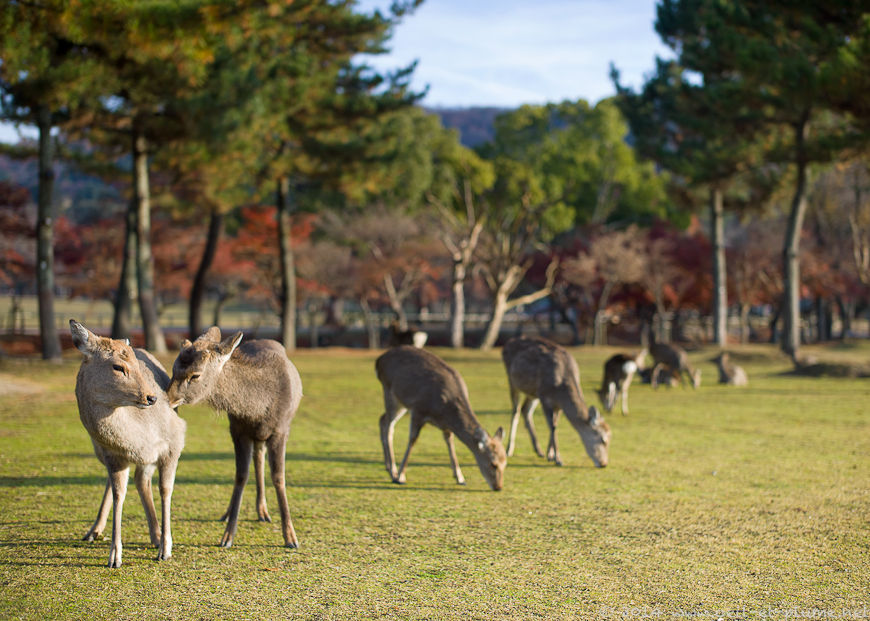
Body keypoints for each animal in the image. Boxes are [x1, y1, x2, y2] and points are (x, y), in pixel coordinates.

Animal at [70, 320, 186, 568]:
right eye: (118, 367)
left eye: (137, 366)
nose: (152, 398)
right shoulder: (112, 455)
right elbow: (118, 493)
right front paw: (114, 556)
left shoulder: (174, 443)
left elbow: (165, 489)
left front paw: (166, 548)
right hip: (99, 451)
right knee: (131, 481)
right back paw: (94, 531)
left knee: (142, 480)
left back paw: (157, 536)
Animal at [167, 324, 304, 548]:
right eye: (174, 369)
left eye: (195, 375)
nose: (166, 398)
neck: (258, 409)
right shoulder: (238, 430)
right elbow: (240, 476)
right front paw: (227, 536)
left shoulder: (281, 430)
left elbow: (279, 477)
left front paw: (291, 537)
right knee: (257, 459)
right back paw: (234, 512)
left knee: (259, 458)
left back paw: (263, 512)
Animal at [376, 344, 510, 490]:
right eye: (493, 464)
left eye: (505, 463)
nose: (498, 487)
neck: (444, 409)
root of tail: (379, 360)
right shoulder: (418, 409)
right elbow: (412, 440)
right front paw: (401, 476)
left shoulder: (445, 425)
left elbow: (450, 442)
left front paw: (460, 478)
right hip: (390, 393)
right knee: (389, 426)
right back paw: (393, 472)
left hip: (401, 403)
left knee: (382, 419)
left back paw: (388, 467)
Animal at [504, 336, 612, 468]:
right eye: (603, 439)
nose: (604, 463)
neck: (560, 390)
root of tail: (508, 343)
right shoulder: (545, 397)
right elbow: (552, 427)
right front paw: (558, 459)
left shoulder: (558, 405)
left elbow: (555, 424)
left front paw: (550, 455)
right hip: (512, 381)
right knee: (516, 411)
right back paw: (509, 449)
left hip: (533, 392)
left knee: (525, 409)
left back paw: (538, 450)